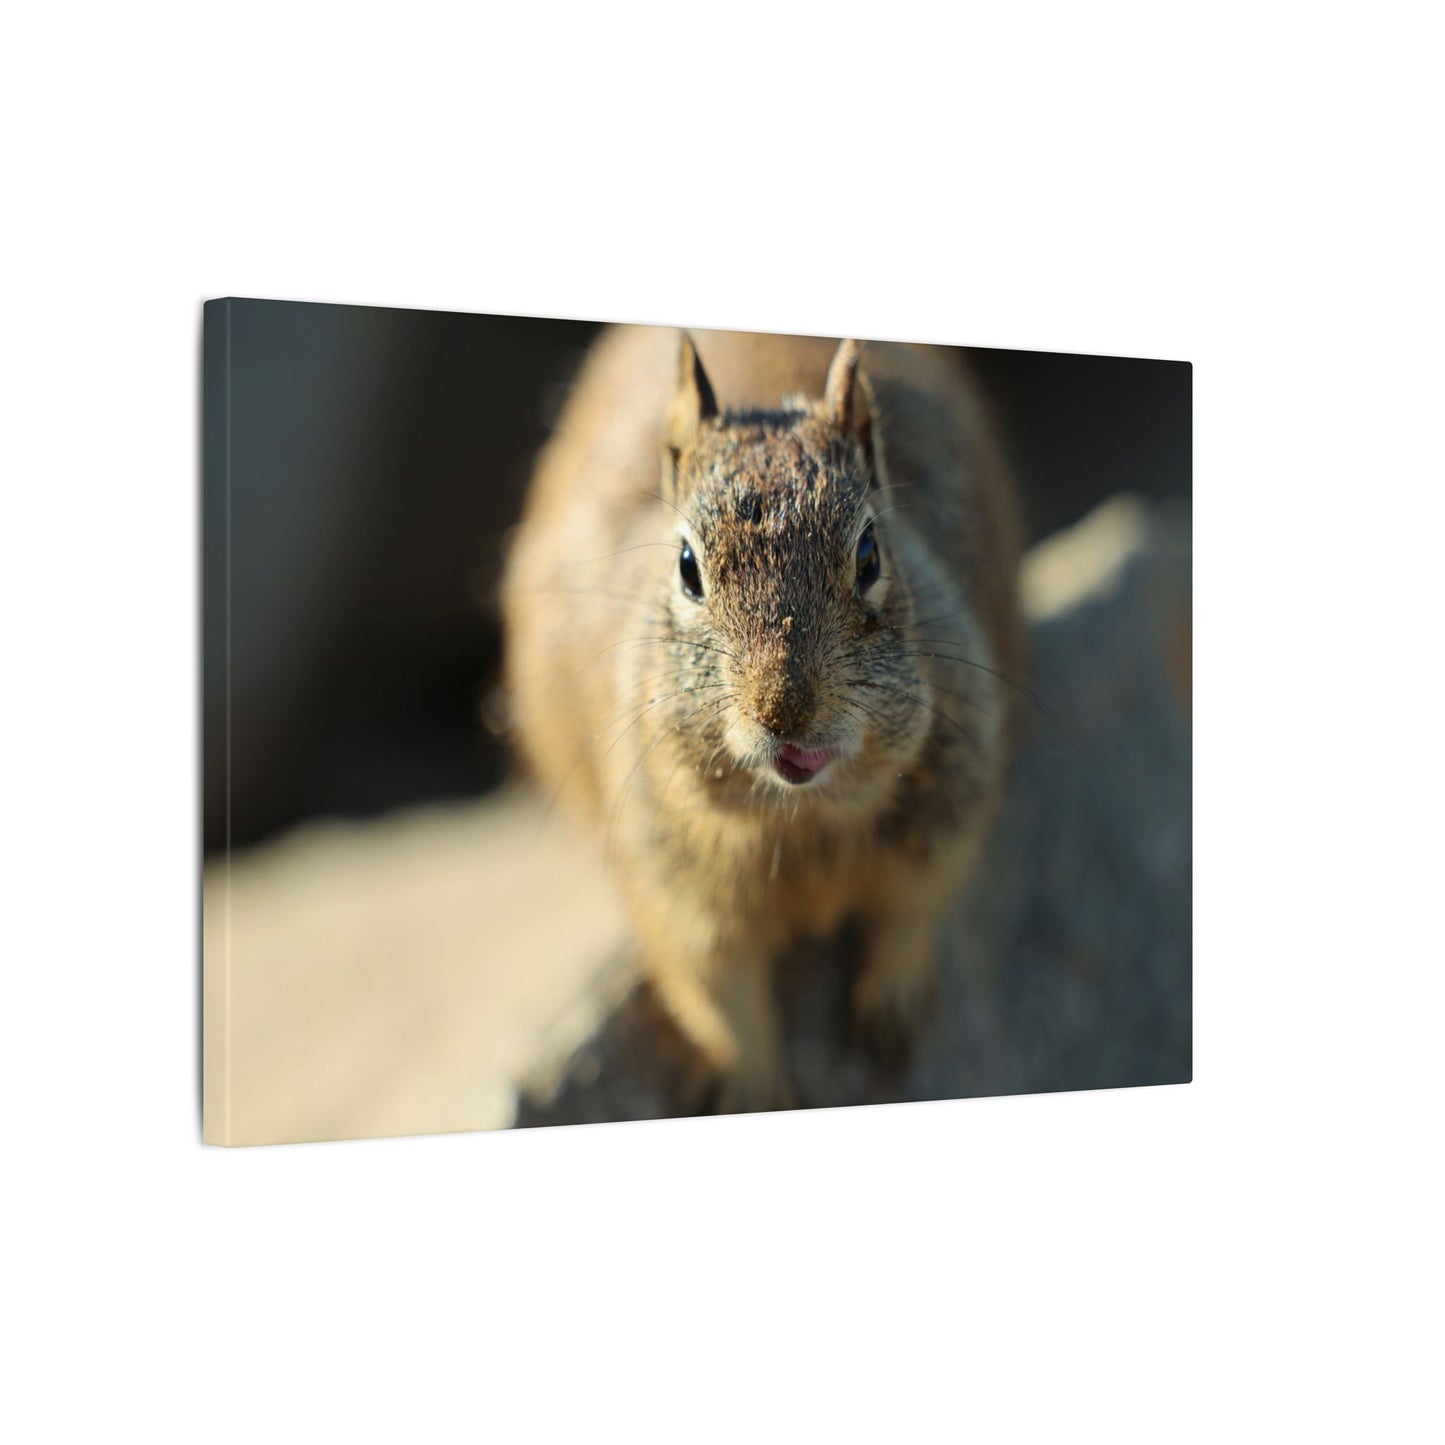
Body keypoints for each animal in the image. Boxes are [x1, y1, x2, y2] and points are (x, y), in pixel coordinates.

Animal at [502, 326, 1024, 1111]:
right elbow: (721, 1005)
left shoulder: (948, 813)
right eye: (686, 565)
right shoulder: (676, 897)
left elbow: (913, 910)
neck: (803, 821)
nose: (785, 710)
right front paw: (755, 1091)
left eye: (870, 551)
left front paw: (891, 1005)